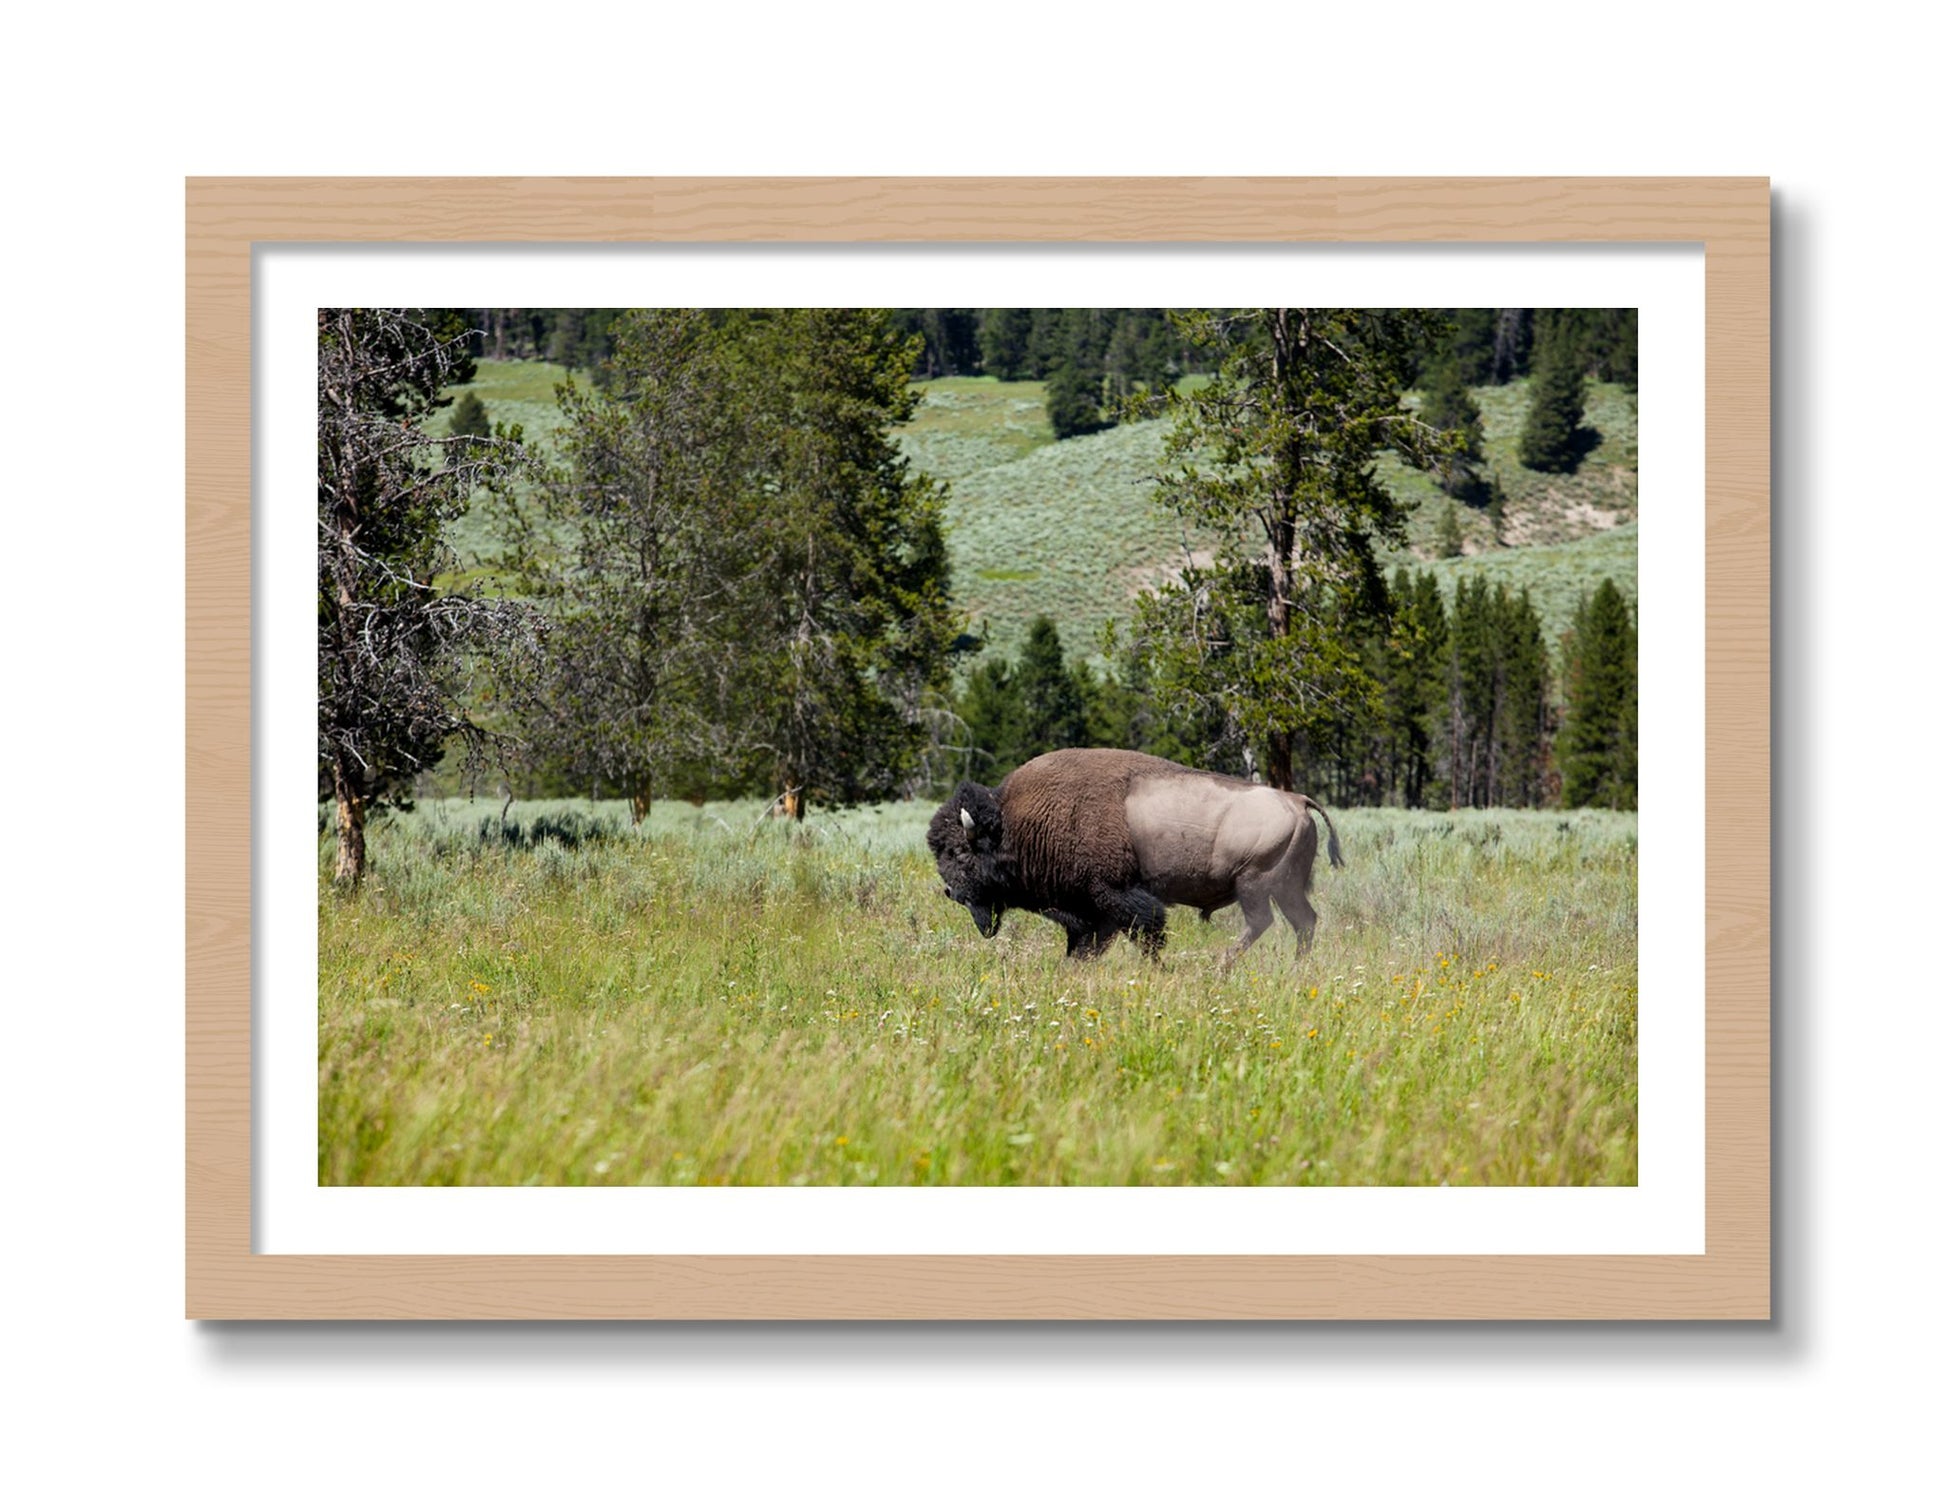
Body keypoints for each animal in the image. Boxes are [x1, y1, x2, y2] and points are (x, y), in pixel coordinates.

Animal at [926, 747, 1343, 967]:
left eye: (960, 852)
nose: (951, 892)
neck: (1015, 823)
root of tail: (1297, 800)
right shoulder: (1091, 912)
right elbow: (1087, 945)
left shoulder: (1116, 897)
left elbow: (1146, 933)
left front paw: (1157, 969)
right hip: (1285, 888)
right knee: (1303, 922)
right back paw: (1295, 967)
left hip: (1254, 884)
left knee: (1262, 922)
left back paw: (1220, 966)